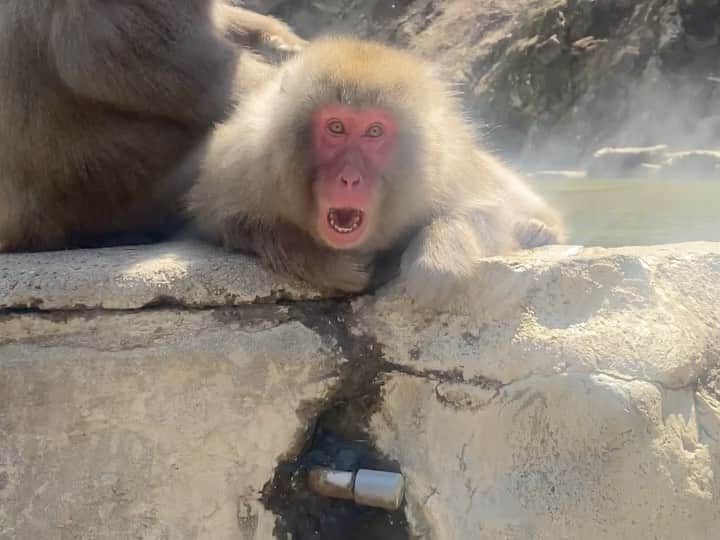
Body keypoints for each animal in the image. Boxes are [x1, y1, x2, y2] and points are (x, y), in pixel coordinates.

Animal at [188, 37, 565, 307]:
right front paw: (328, 264)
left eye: (373, 131)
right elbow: (228, 222)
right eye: (336, 127)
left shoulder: (445, 165)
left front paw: (439, 258)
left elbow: (484, 210)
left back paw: (537, 231)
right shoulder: (244, 166)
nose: (350, 178)